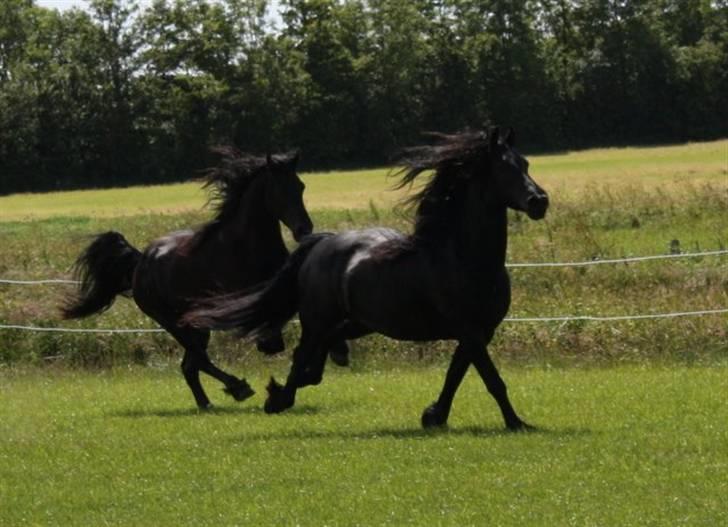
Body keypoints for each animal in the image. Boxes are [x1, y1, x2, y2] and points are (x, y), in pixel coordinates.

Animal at [61, 151, 342, 410]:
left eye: (300, 186)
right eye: (279, 189)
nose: (304, 229)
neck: (246, 246)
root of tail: (140, 263)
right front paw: (271, 346)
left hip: (193, 324)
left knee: (190, 364)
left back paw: (208, 402)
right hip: (173, 321)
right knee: (196, 360)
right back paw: (237, 388)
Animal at [185, 130, 548, 432]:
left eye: (525, 163)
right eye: (504, 168)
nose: (539, 202)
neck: (463, 258)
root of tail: (320, 242)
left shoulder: (479, 332)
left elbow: (456, 374)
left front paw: (434, 416)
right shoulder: (470, 330)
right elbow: (491, 379)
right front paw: (516, 423)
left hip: (362, 322)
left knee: (325, 346)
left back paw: (312, 374)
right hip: (317, 318)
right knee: (303, 353)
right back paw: (279, 398)